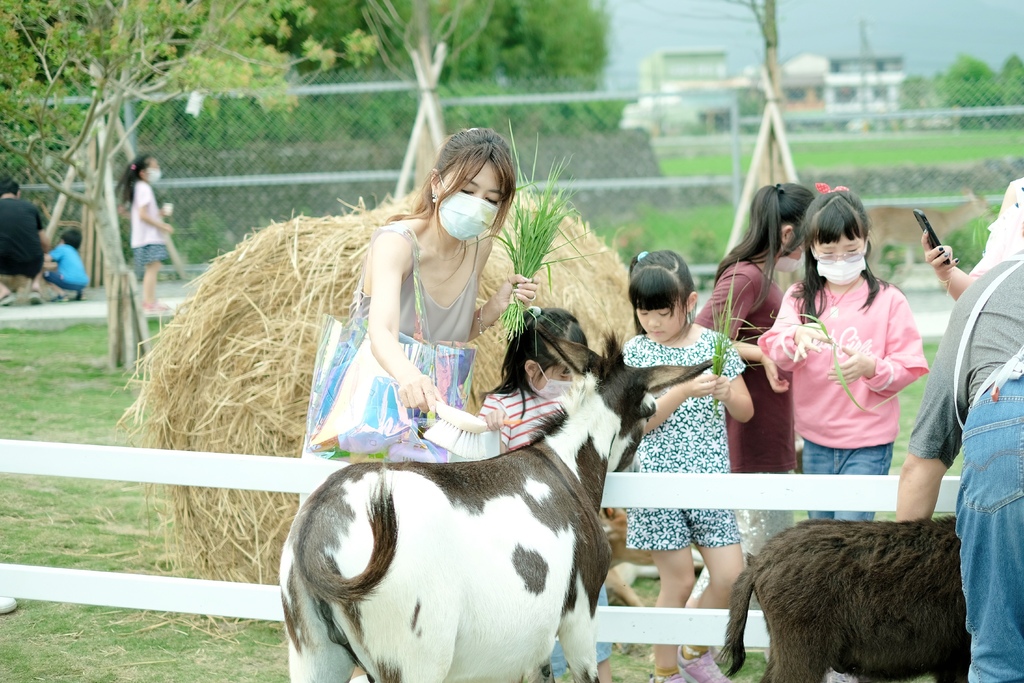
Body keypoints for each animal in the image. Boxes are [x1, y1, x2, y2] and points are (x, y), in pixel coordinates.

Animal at [280, 337, 712, 683]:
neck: (566, 461)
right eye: (651, 408)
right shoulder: (580, 616)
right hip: (416, 660)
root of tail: (319, 523)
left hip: (314, 659)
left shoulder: (530, 650)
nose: (635, 464)